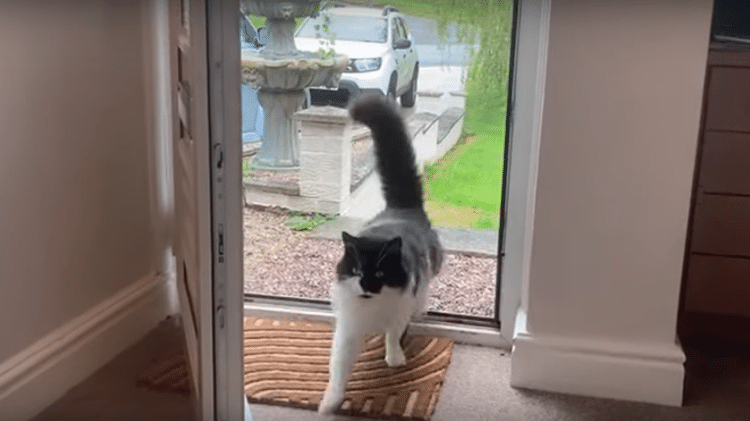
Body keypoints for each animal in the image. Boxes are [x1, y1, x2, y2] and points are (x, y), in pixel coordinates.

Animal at [318, 95, 446, 414]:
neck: (372, 309)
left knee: (424, 292)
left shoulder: (400, 307)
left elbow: (393, 334)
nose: (366, 286)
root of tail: (402, 209)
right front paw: (330, 403)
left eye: (379, 272)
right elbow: (338, 368)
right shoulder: (348, 329)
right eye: (356, 272)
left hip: (429, 272)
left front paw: (394, 358)